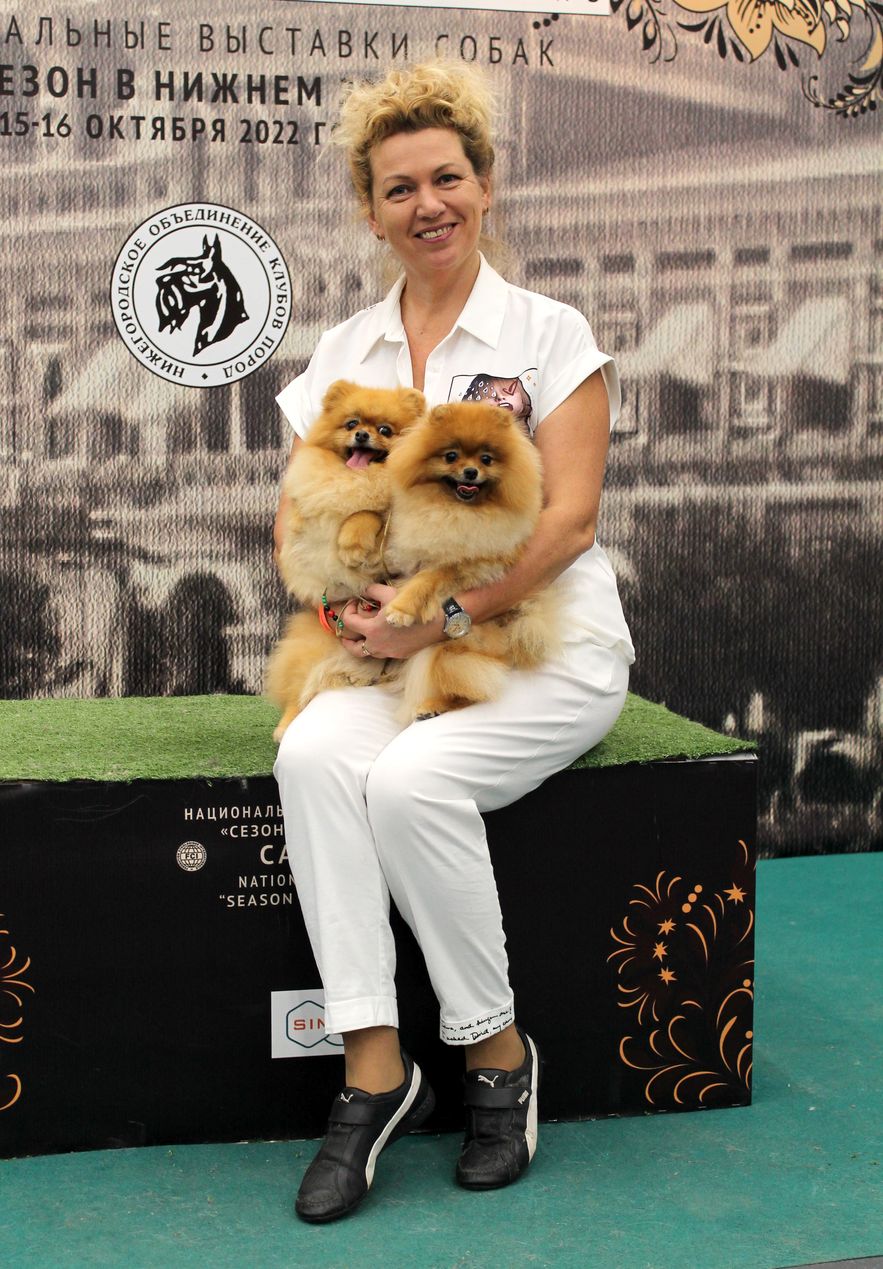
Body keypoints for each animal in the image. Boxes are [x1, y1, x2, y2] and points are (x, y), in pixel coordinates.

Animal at [266, 380, 426, 740]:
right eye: (352, 423)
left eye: (385, 430)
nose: (363, 435)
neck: (356, 477)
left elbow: (365, 513)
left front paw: (351, 544)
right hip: (313, 652)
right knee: (300, 692)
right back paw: (284, 726)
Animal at [382, 400, 562, 722]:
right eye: (451, 456)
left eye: (486, 459)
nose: (470, 471)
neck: (456, 512)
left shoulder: (467, 566)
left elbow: (426, 580)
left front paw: (400, 610)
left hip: (446, 650)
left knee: (468, 686)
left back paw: (432, 706)